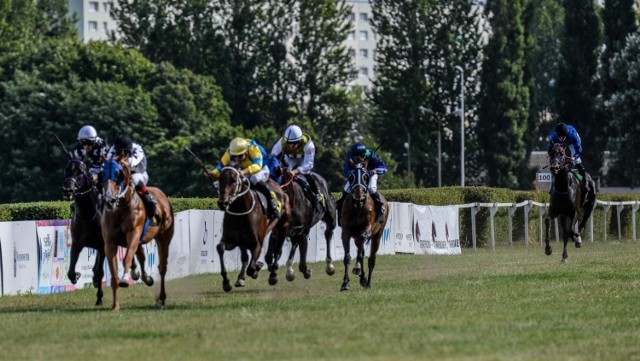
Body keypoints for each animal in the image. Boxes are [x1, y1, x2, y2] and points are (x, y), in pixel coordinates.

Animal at [61, 159, 105, 306]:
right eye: (66, 170)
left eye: (80, 172)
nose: (68, 190)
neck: (87, 215)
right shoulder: (76, 244)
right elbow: (70, 272)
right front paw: (77, 275)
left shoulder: (103, 245)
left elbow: (99, 272)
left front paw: (99, 298)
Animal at [101, 158, 174, 310]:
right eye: (102, 174)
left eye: (119, 174)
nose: (109, 200)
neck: (121, 208)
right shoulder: (110, 242)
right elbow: (114, 274)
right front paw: (115, 305)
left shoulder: (134, 233)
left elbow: (127, 258)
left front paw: (125, 279)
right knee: (141, 255)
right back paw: (143, 276)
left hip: (164, 238)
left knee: (162, 268)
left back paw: (162, 298)